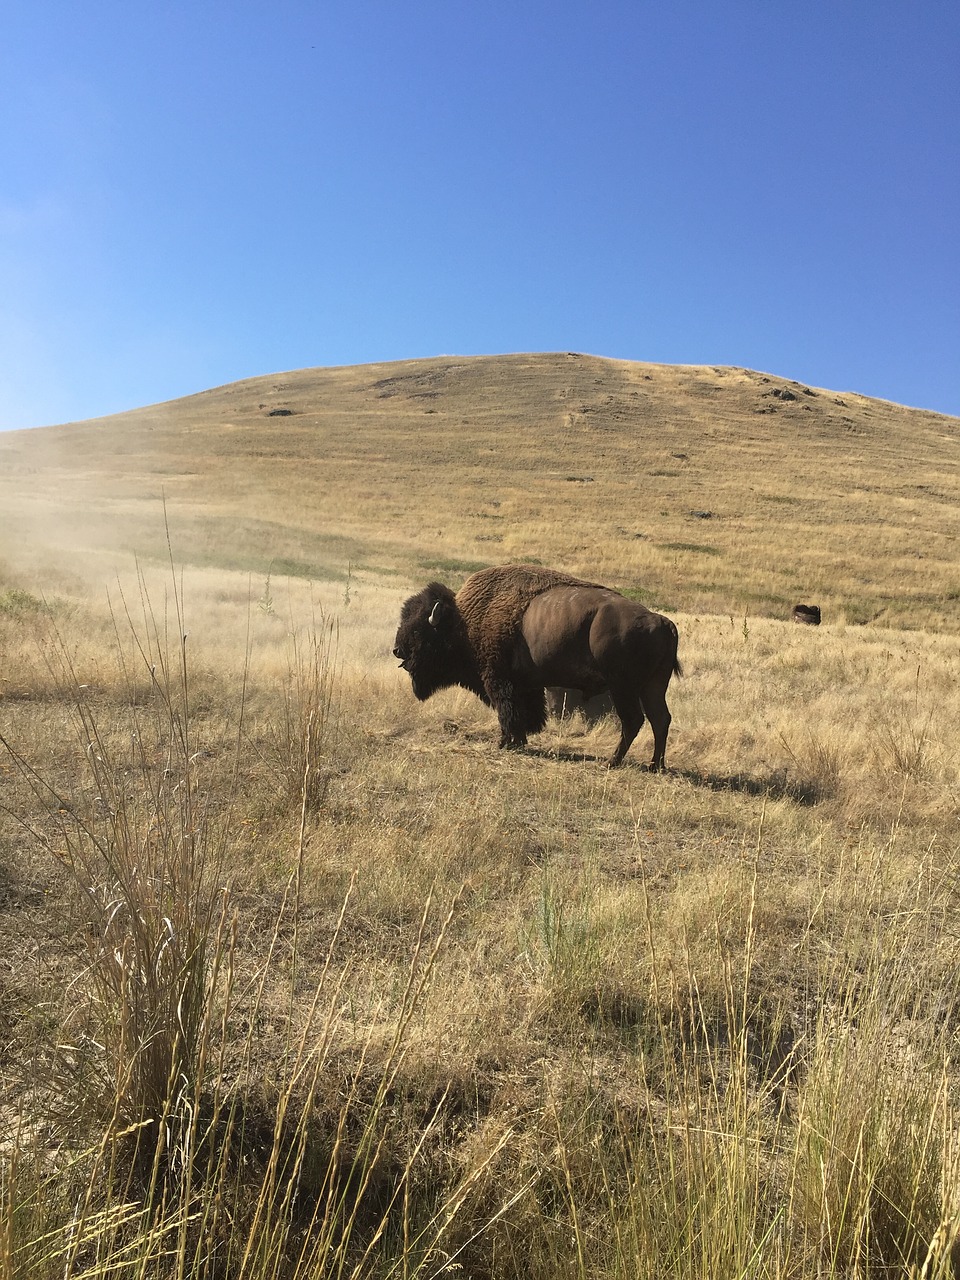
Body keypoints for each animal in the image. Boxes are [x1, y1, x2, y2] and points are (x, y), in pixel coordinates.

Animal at [391, 563, 686, 762]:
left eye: (418, 631)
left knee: (634, 720)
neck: (462, 620)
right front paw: (520, 740)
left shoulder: (498, 679)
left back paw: (613, 762)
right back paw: (655, 765)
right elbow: (526, 712)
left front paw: (505, 742)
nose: (396, 650)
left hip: (623, 687)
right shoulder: (527, 684)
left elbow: (507, 710)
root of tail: (663, 622)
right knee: (660, 719)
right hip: (653, 686)